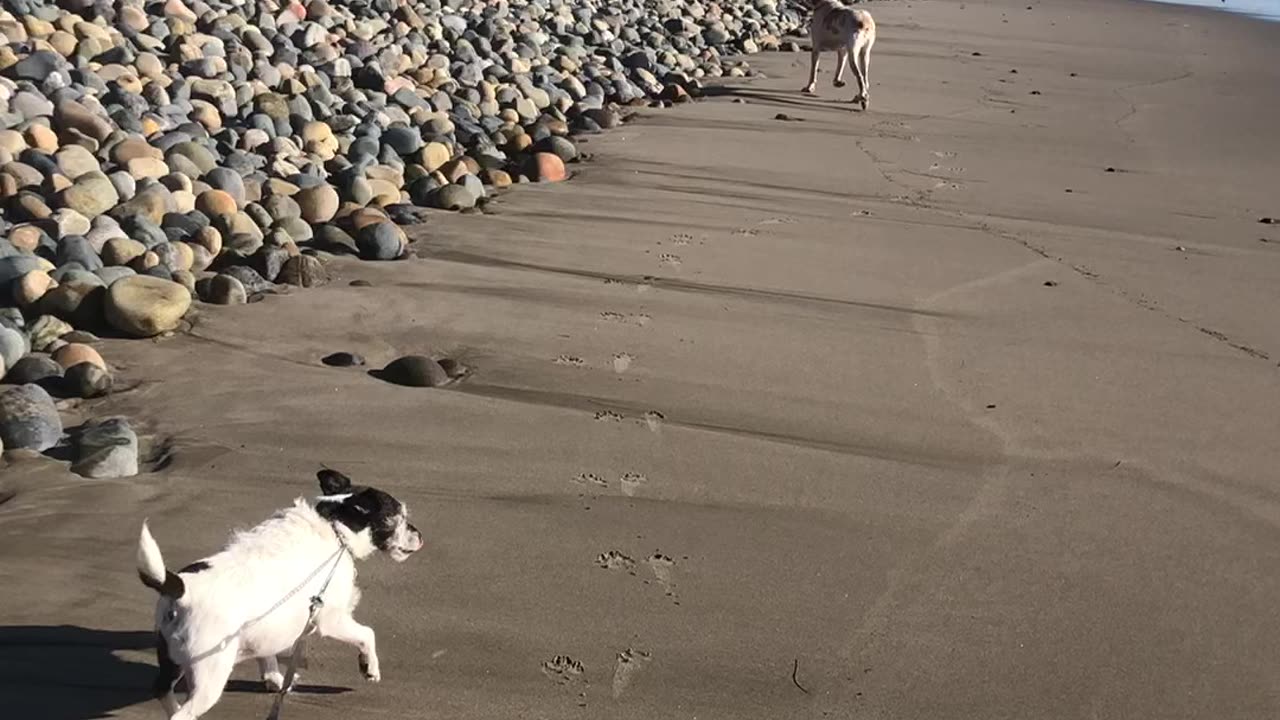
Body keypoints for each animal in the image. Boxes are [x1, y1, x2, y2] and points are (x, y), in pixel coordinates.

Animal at [137, 468, 422, 712]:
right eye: (400, 518)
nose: (420, 536)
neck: (335, 524)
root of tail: (181, 588)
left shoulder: (268, 629)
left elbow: (268, 656)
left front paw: (274, 679)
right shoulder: (331, 619)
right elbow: (367, 634)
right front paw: (369, 667)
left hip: (171, 658)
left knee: (162, 690)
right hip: (210, 674)